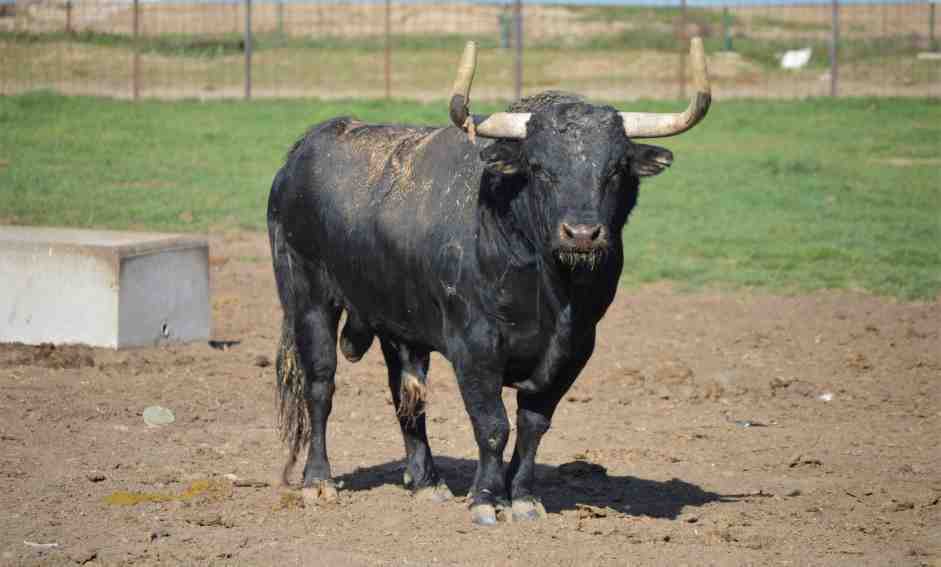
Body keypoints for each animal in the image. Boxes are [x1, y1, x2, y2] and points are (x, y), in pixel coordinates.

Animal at [268, 39, 711, 525]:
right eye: (539, 166)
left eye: (615, 168)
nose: (581, 233)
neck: (550, 289)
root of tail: (305, 150)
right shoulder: (474, 345)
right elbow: (492, 424)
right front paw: (485, 498)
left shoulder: (576, 348)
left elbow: (533, 425)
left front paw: (522, 498)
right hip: (308, 299)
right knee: (320, 385)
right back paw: (318, 481)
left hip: (397, 321)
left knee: (407, 395)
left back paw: (426, 482)